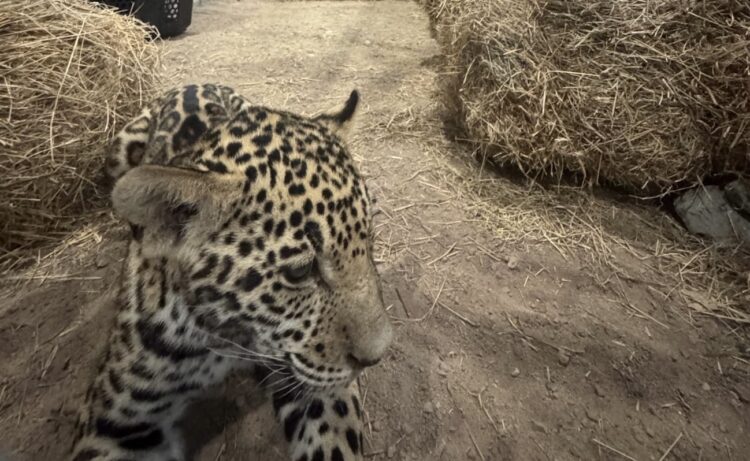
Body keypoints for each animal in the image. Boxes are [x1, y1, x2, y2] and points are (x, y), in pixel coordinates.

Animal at [71, 83, 393, 461]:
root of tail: (195, 84)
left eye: (368, 239)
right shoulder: (116, 423)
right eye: (300, 272)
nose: (376, 357)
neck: (225, 335)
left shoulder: (313, 379)